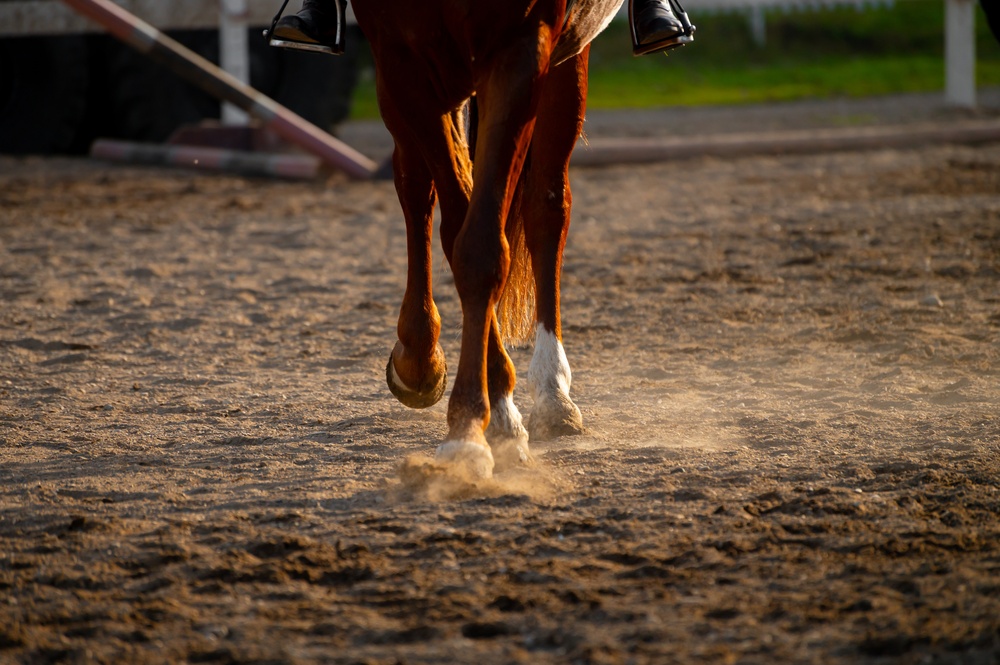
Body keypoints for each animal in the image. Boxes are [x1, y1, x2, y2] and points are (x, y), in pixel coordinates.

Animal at [351, 0, 624, 478]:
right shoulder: (401, 62)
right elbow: (456, 223)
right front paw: (487, 411)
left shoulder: (521, 48)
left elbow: (480, 246)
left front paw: (472, 429)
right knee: (415, 184)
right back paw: (418, 355)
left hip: (565, 59)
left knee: (547, 206)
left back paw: (553, 391)